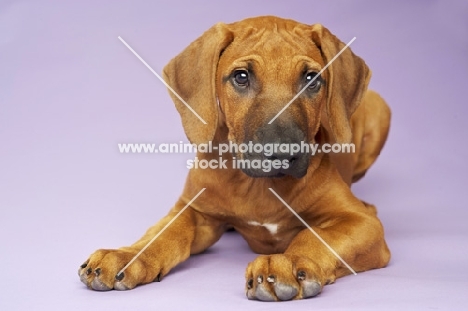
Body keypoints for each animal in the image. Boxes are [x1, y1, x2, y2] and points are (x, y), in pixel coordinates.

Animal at [79, 15, 392, 302]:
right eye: (241, 77)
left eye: (311, 80)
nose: (282, 153)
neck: (258, 186)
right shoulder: (193, 208)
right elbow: (163, 232)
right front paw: (128, 254)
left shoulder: (360, 222)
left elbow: (317, 236)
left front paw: (290, 262)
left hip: (381, 110)